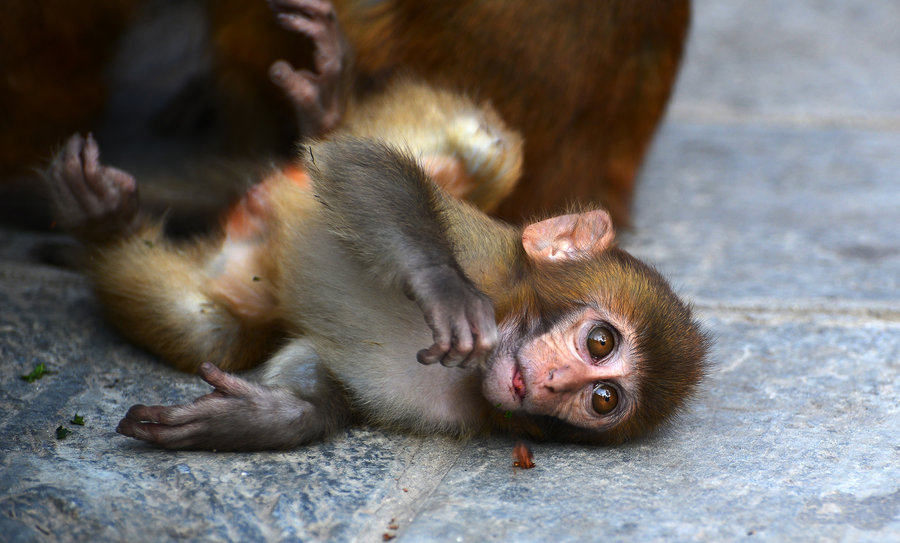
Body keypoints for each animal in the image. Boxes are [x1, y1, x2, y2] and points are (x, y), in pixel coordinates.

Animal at [47, 124, 712, 450]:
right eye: (599, 343)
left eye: (601, 400)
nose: (553, 383)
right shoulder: (485, 259)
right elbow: (362, 164)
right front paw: (442, 288)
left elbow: (319, 376)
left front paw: (256, 419)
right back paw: (106, 220)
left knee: (212, 330)